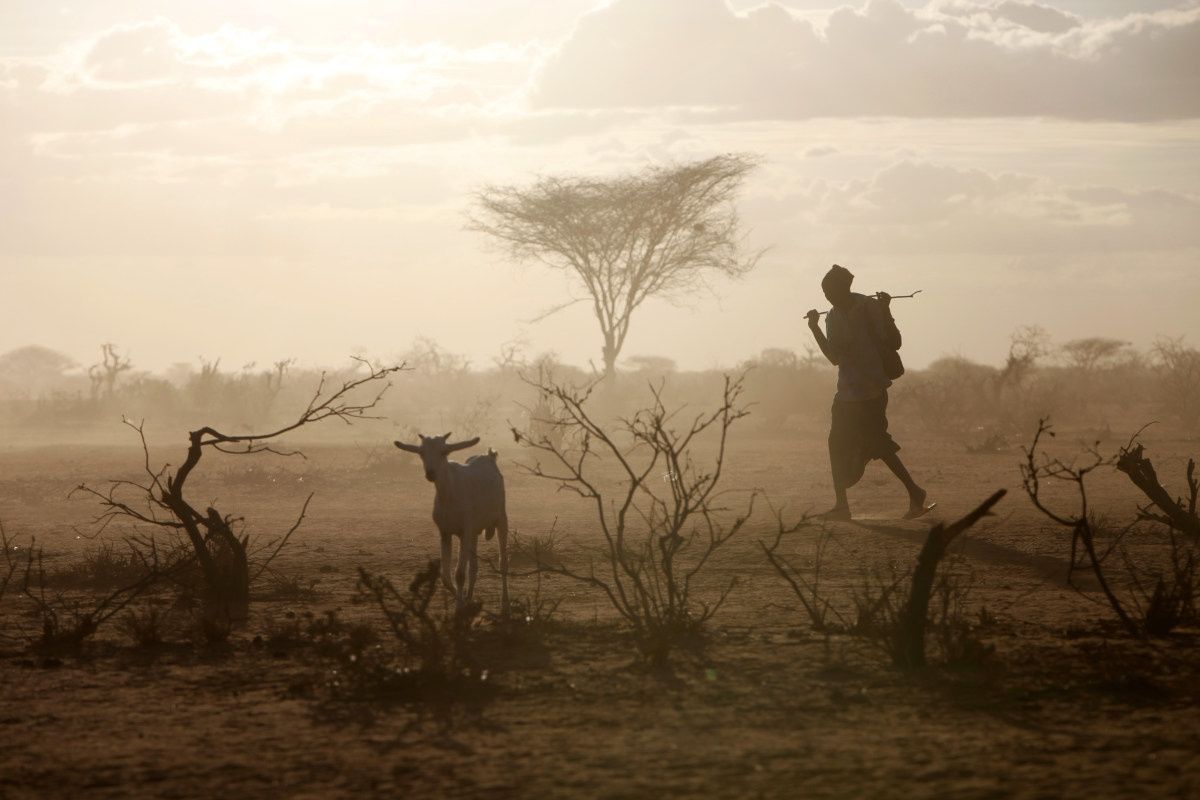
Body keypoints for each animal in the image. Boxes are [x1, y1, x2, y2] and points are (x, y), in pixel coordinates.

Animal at [393, 431, 506, 614]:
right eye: (421, 453)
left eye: (444, 452)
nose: (430, 473)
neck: (449, 495)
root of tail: (489, 457)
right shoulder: (445, 532)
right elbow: (445, 576)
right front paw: (463, 601)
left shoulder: (465, 531)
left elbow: (459, 574)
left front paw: (459, 609)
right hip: (474, 532)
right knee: (473, 566)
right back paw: (469, 597)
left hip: (501, 519)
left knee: (503, 563)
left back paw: (505, 606)